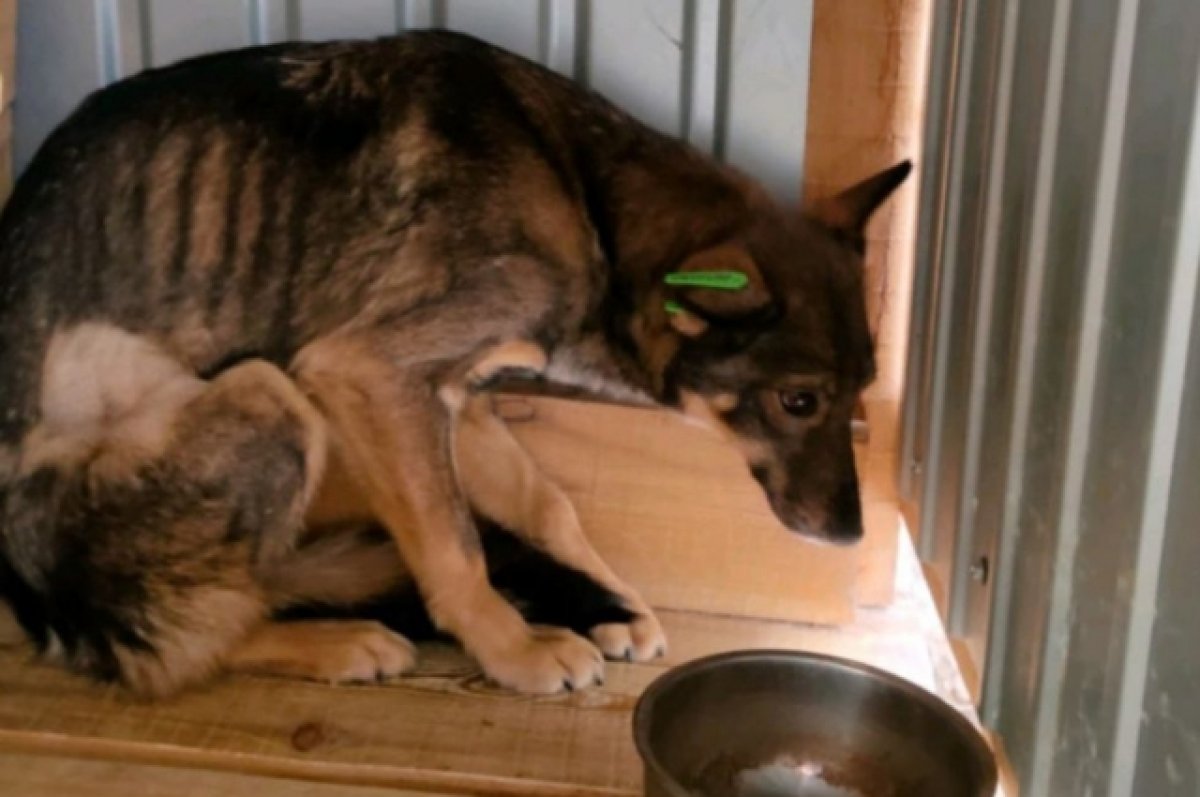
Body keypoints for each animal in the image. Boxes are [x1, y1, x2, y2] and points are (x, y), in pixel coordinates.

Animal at [0, 31, 902, 696]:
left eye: (858, 390)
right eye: (798, 401)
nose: (853, 534)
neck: (588, 196)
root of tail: (37, 600)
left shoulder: (453, 394)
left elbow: (546, 504)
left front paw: (609, 595)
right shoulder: (372, 374)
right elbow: (454, 546)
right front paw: (515, 650)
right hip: (271, 395)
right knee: (174, 642)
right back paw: (326, 641)